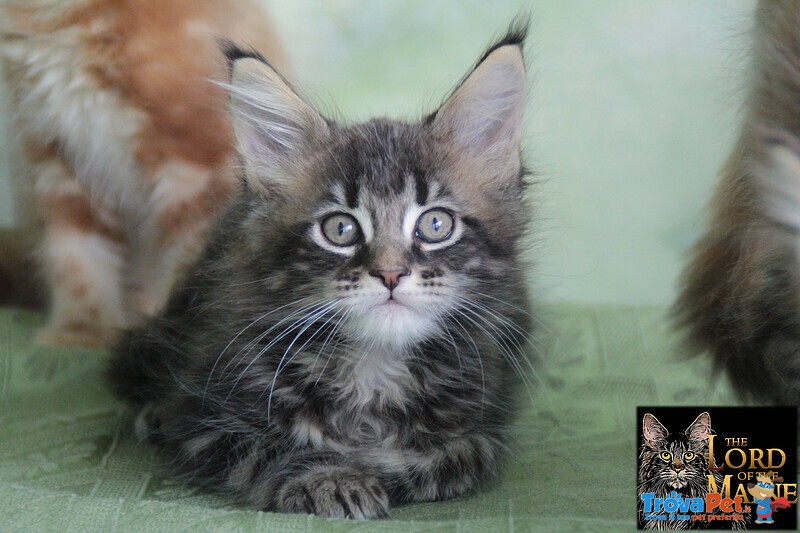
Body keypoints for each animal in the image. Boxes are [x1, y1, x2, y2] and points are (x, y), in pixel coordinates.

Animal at [106, 26, 532, 520]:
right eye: (340, 229)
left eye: (435, 224)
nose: (390, 274)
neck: (373, 364)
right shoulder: (200, 420)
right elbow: (268, 450)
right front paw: (329, 477)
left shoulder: (483, 426)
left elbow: (447, 460)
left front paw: (376, 464)